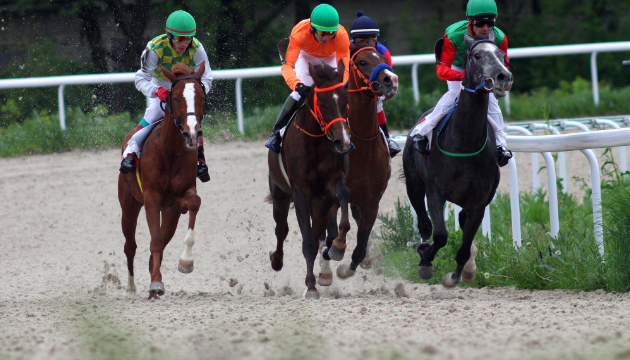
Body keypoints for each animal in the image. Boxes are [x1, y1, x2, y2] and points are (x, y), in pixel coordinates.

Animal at [118, 62, 207, 300]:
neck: (170, 151)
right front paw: (156, 283)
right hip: (129, 204)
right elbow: (154, 240)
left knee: (158, 242)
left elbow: (194, 202)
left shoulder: (177, 200)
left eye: (201, 96)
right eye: (174, 98)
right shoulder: (151, 196)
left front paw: (186, 262)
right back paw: (131, 287)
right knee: (130, 245)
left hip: (169, 213)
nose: (192, 134)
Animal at [268, 60, 354, 300]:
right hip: (280, 193)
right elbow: (306, 241)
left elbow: (344, 194)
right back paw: (276, 261)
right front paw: (310, 286)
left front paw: (338, 246)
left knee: (317, 234)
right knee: (281, 229)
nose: (343, 141)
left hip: (320, 203)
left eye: (346, 101)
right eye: (322, 103)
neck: (315, 140)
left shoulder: (330, 186)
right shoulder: (300, 192)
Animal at [318, 43, 402, 282]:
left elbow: (361, 244)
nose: (391, 80)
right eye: (362, 62)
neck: (362, 148)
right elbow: (332, 235)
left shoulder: (372, 200)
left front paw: (349, 266)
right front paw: (332, 253)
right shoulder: (333, 196)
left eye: (382, 58)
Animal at [404, 33, 512, 286]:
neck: (465, 141)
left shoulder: (479, 202)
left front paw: (459, 273)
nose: (503, 77)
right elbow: (440, 235)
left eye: (502, 55)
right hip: (414, 184)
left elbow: (464, 244)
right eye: (476, 55)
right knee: (424, 222)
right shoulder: (435, 192)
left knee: (461, 221)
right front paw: (425, 261)